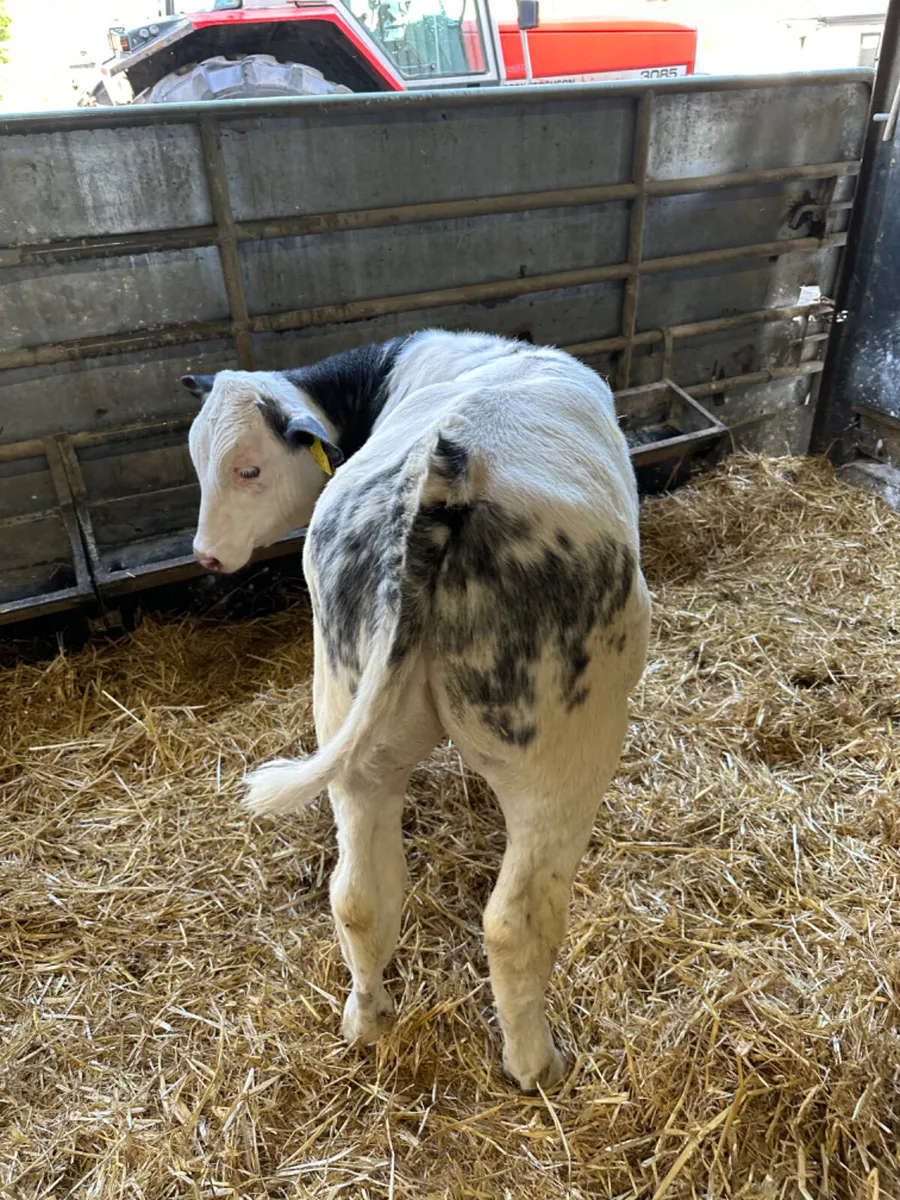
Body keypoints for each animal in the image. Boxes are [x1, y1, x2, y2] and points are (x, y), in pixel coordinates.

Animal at [183, 330, 650, 1092]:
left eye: (246, 468)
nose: (206, 556)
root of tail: (444, 478)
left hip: (349, 721)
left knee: (359, 895)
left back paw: (368, 1020)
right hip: (565, 750)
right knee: (516, 921)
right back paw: (536, 1064)